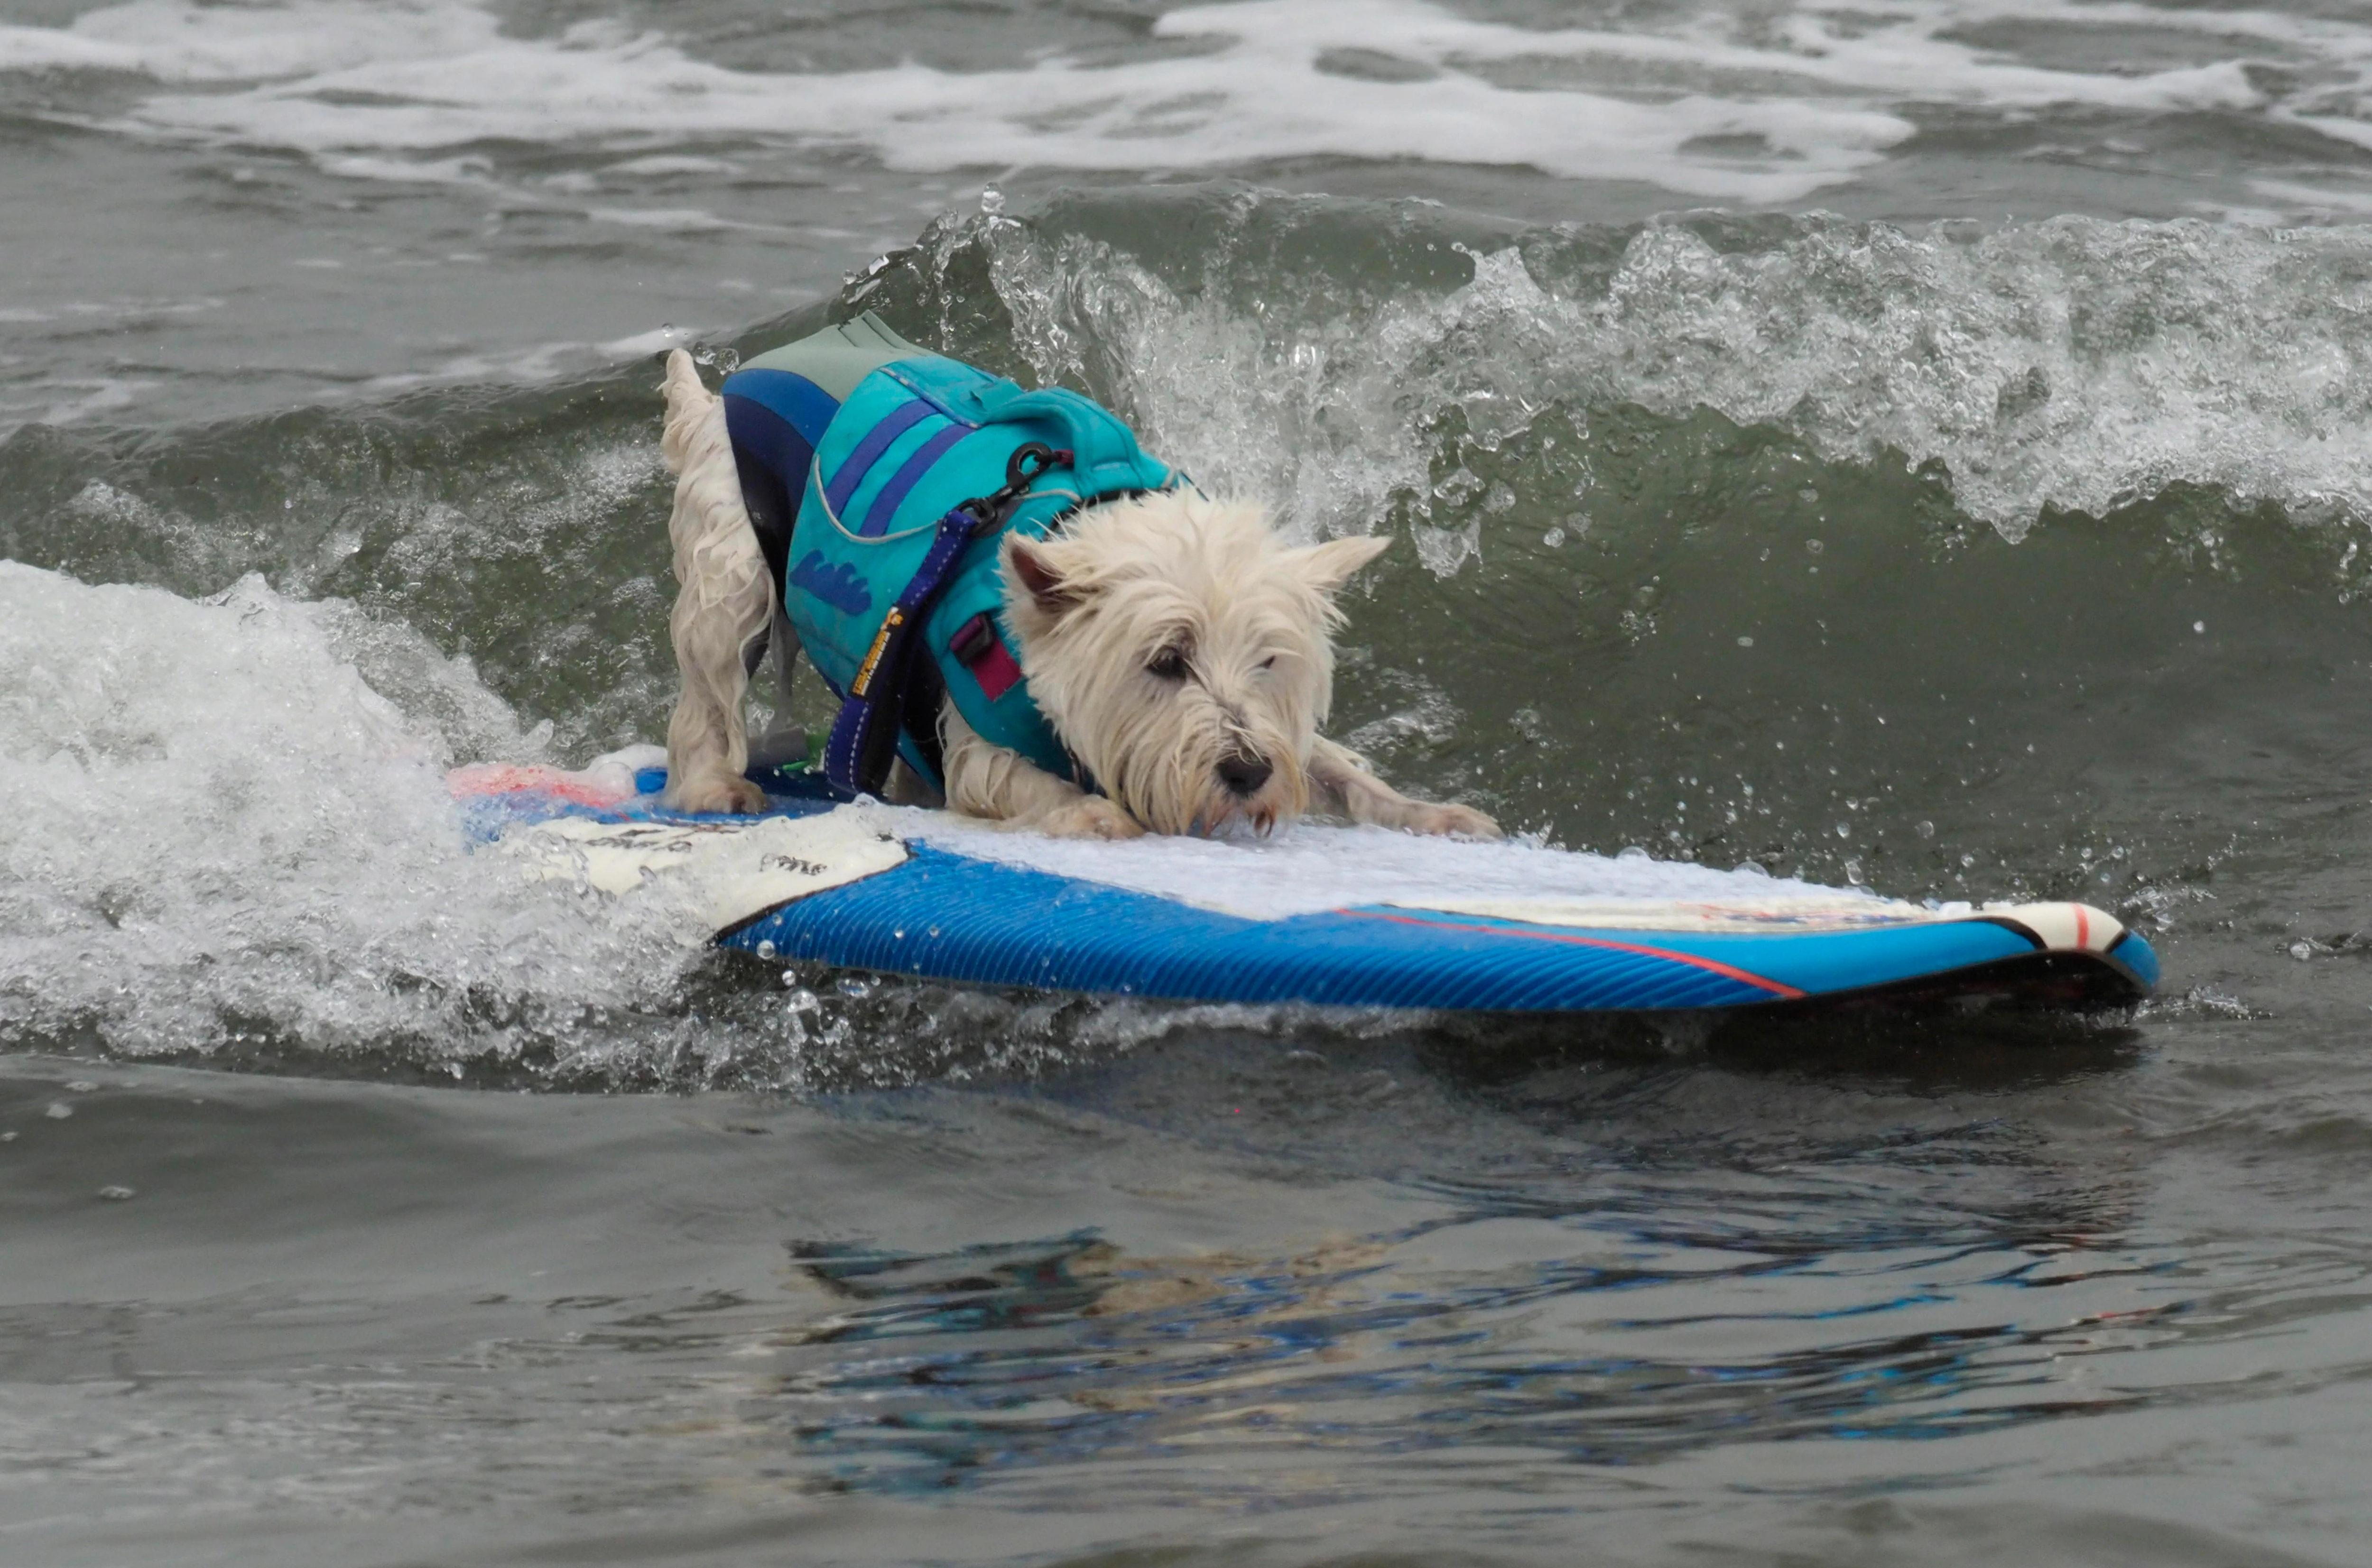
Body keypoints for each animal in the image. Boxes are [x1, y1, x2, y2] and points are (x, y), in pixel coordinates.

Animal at [650, 351, 1499, 844]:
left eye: (1268, 661)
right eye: (1167, 660)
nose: (1247, 772)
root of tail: (718, 393)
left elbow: (1338, 771)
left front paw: (1433, 815)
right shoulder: (979, 741)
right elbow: (1015, 781)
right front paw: (1094, 810)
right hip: (733, 557)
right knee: (707, 694)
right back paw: (719, 787)